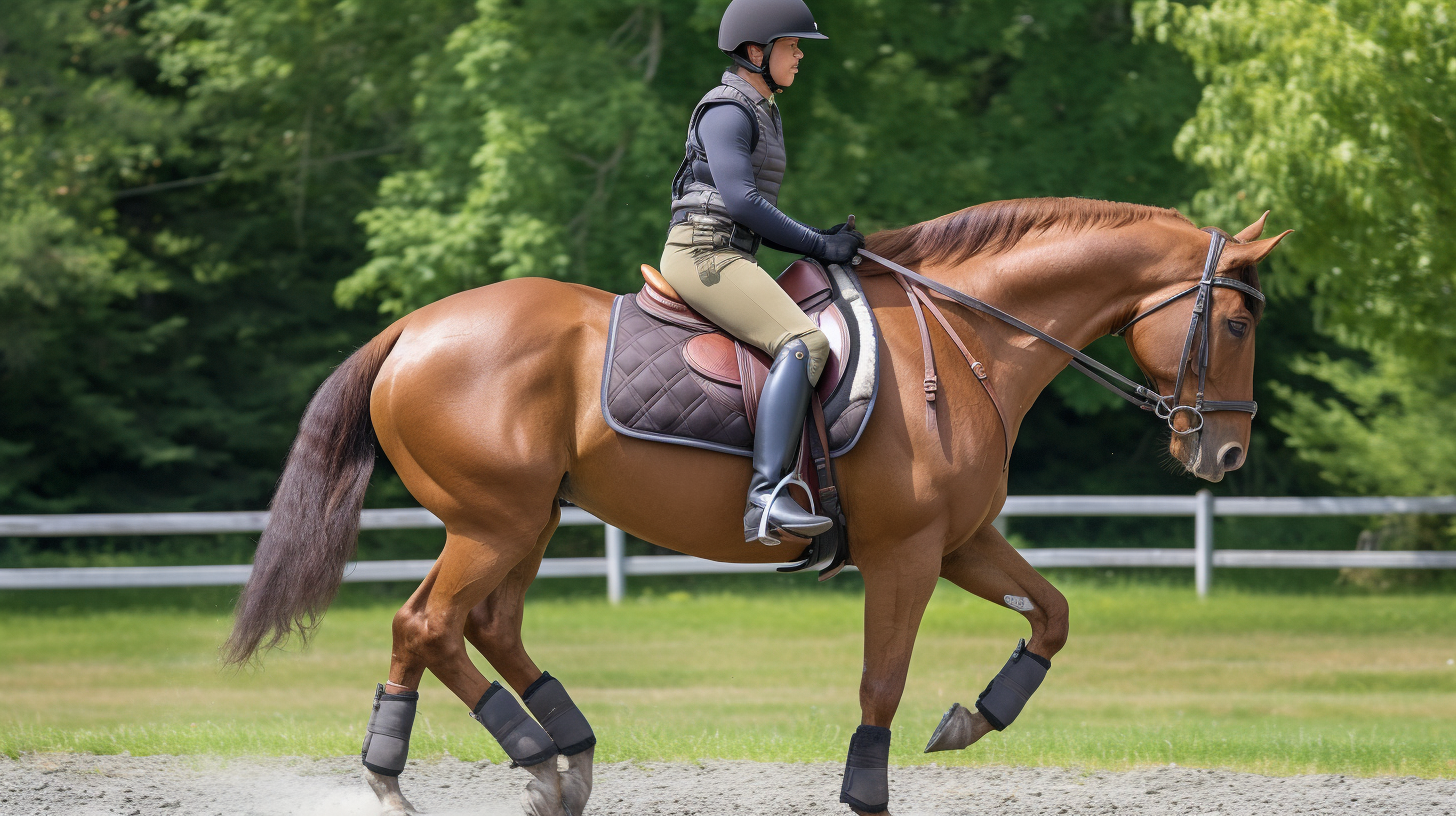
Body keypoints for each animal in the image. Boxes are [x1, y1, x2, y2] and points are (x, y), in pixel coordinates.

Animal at [224, 199, 1287, 816]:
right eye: (1237, 322)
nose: (1225, 451)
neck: (962, 335)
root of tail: (412, 329)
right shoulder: (908, 553)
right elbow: (880, 684)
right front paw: (869, 788)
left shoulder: (962, 543)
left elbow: (1053, 618)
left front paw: (973, 718)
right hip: (494, 524)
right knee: (429, 624)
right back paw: (469, 763)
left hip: (529, 522)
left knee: (484, 624)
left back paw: (556, 754)